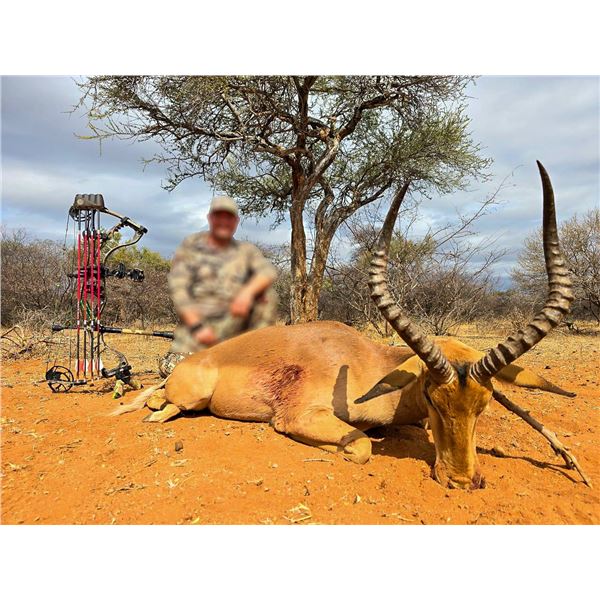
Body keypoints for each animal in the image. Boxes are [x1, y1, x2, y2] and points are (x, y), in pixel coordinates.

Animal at [111, 162, 590, 489]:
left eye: (485, 404)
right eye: (433, 397)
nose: (460, 481)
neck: (364, 361)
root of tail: (193, 362)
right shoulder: (304, 416)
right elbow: (359, 445)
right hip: (191, 398)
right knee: (161, 406)